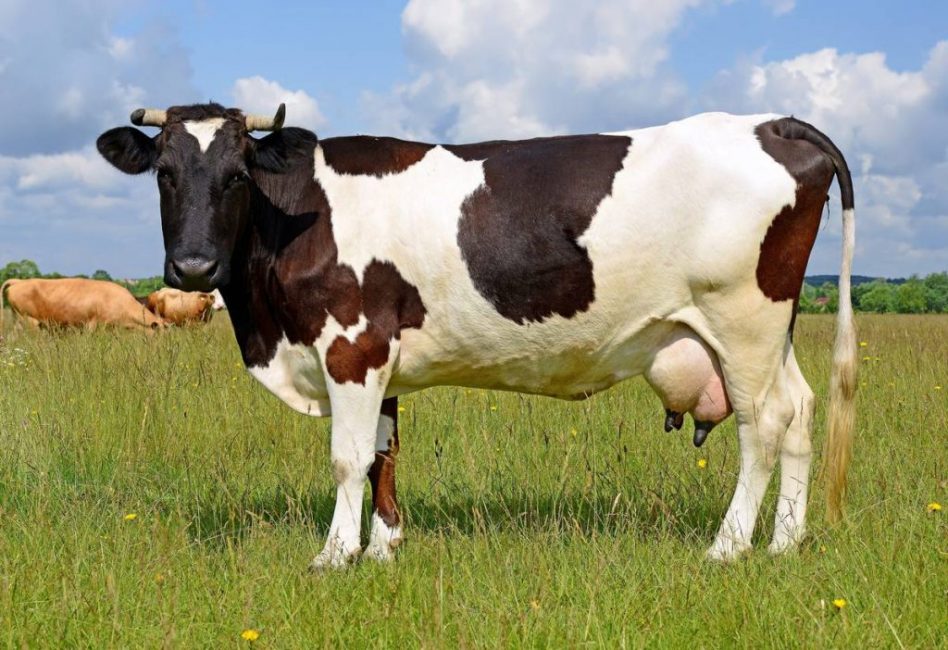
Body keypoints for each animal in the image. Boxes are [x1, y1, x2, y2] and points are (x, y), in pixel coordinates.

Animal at [96, 103, 856, 569]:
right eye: (165, 173)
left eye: (236, 176)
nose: (193, 266)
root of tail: (772, 123)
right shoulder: (383, 355)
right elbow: (385, 452)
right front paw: (384, 547)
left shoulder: (351, 344)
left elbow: (348, 459)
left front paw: (335, 555)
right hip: (770, 333)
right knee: (800, 412)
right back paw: (786, 543)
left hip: (743, 321)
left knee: (763, 426)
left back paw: (729, 547)